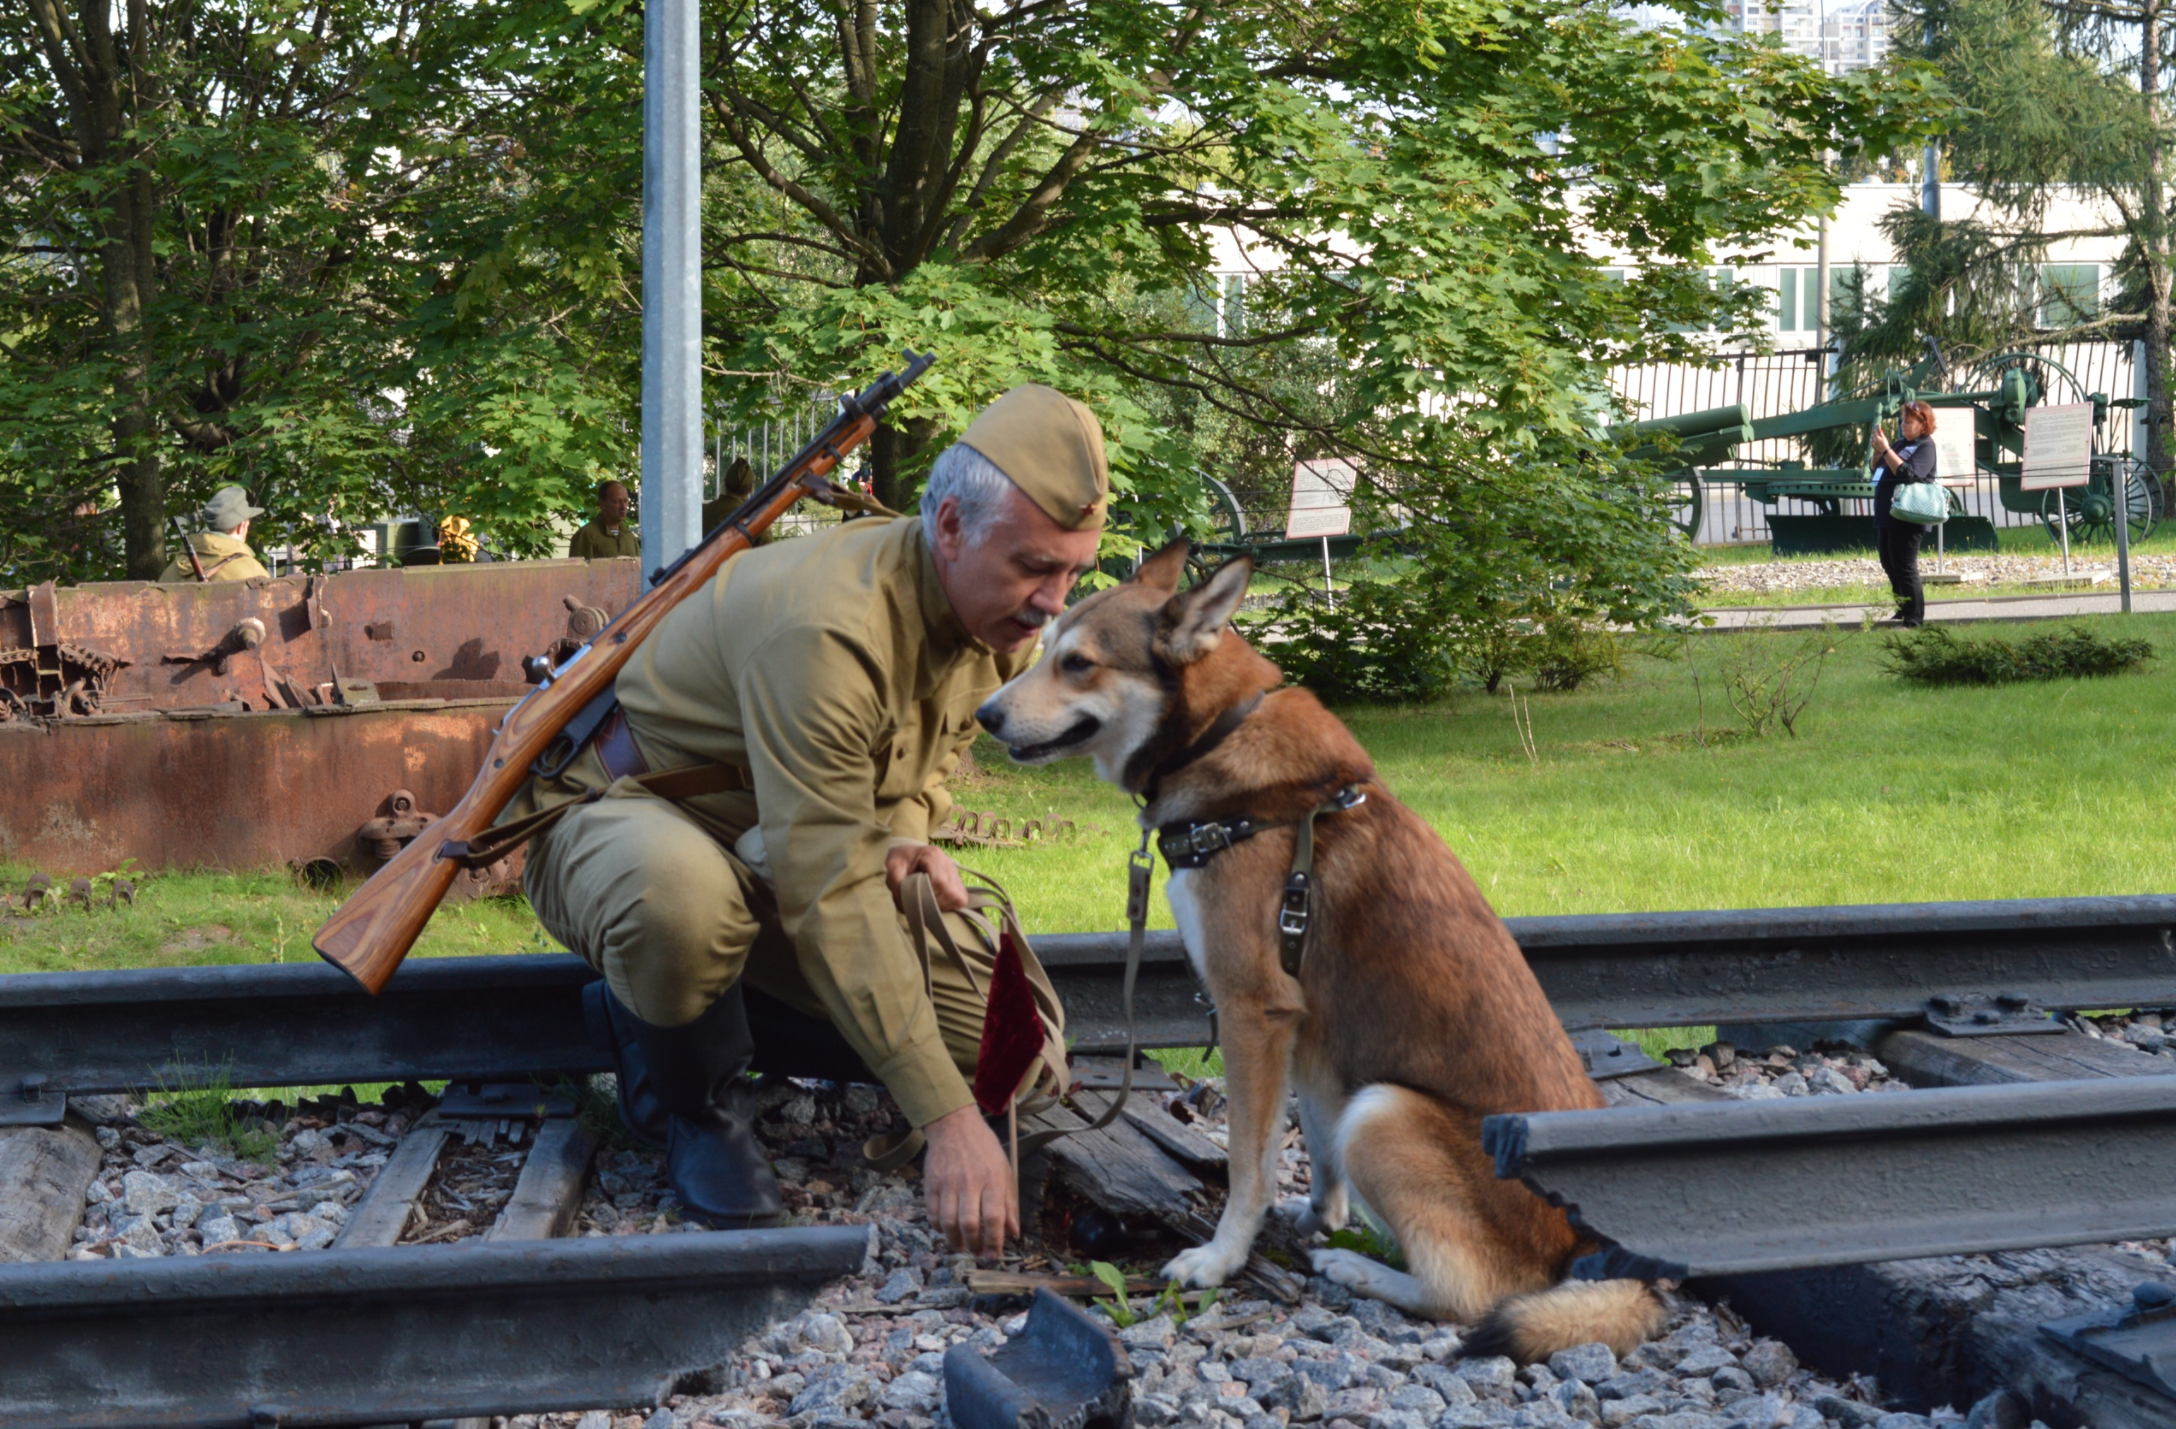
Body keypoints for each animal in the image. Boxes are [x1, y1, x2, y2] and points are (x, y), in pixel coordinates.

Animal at [974, 543, 1662, 1357]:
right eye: (1046, 647)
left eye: (1078, 662)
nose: (984, 714)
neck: (1218, 739)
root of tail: (1583, 1243)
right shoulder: (1306, 1027)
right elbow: (1315, 1142)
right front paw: (1317, 1215)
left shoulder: (1253, 1011)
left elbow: (1249, 1160)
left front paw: (1221, 1256)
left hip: (1384, 1110)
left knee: (1472, 1294)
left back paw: (1357, 1270)